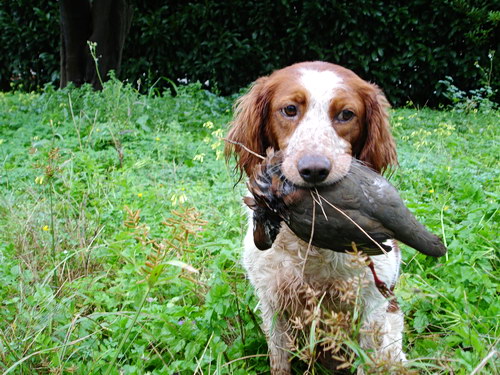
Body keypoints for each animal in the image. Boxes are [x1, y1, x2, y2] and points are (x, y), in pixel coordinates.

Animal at [227, 61, 406, 374]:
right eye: (289, 109)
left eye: (346, 114)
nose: (313, 170)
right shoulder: (271, 300)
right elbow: (279, 359)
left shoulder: (371, 306)